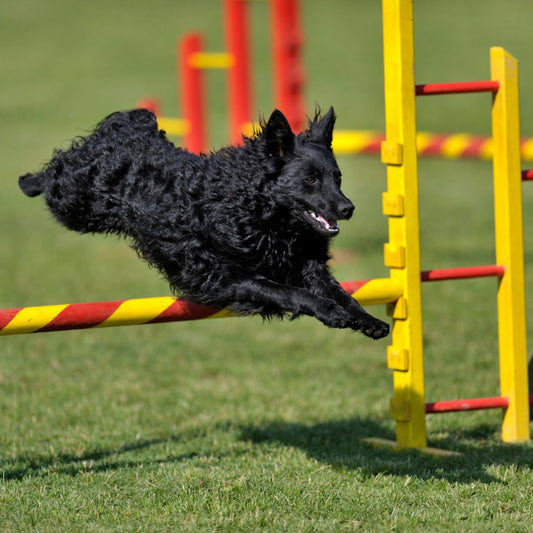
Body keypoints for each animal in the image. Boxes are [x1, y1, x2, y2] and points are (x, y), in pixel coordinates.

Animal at [20, 107, 388, 338]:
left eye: (337, 177)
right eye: (310, 180)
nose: (348, 207)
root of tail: (128, 127)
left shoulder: (309, 266)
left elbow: (341, 293)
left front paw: (367, 320)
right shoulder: (229, 277)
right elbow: (291, 293)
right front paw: (331, 313)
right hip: (74, 203)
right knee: (56, 172)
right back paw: (28, 180)